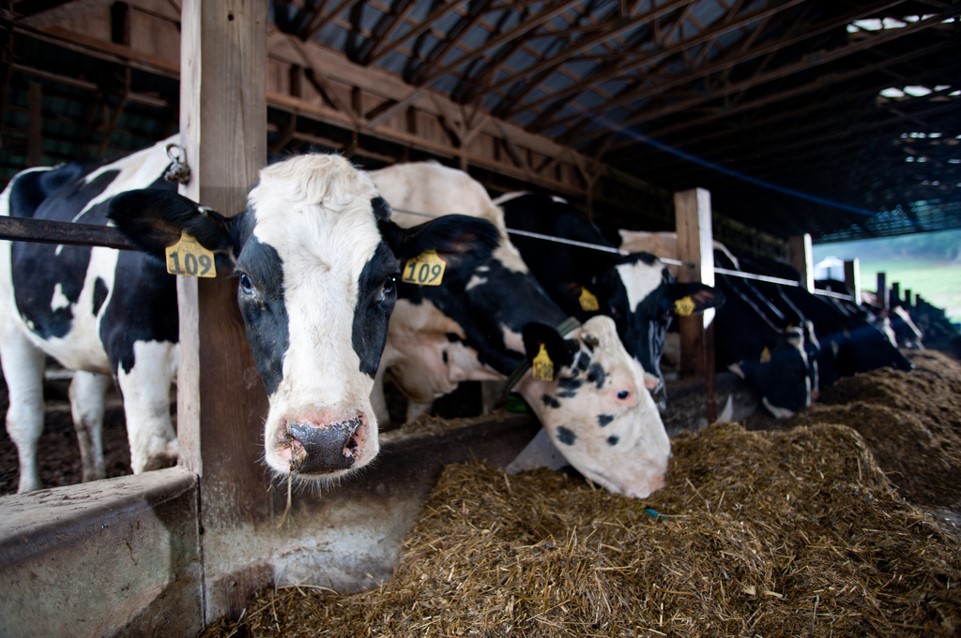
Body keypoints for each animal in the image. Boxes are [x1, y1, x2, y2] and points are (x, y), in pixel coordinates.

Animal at [0, 139, 496, 496]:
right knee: (25, 417)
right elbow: (155, 454)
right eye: (245, 280)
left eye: (390, 282)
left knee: (82, 405)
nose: (323, 442)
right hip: (11, 331)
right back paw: (29, 490)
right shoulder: (132, 343)